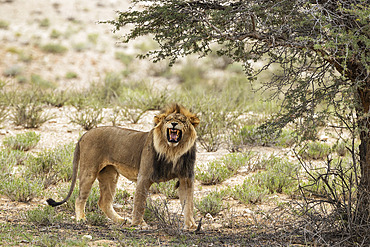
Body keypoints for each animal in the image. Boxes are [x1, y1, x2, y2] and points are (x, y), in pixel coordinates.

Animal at [48, 103, 201, 229]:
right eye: (168, 120)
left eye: (182, 121)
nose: (174, 124)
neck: (172, 151)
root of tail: (85, 134)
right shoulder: (144, 176)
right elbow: (140, 202)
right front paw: (139, 224)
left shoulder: (186, 178)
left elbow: (189, 203)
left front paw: (191, 225)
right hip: (89, 171)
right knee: (80, 198)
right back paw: (81, 219)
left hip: (110, 175)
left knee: (104, 202)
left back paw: (122, 220)